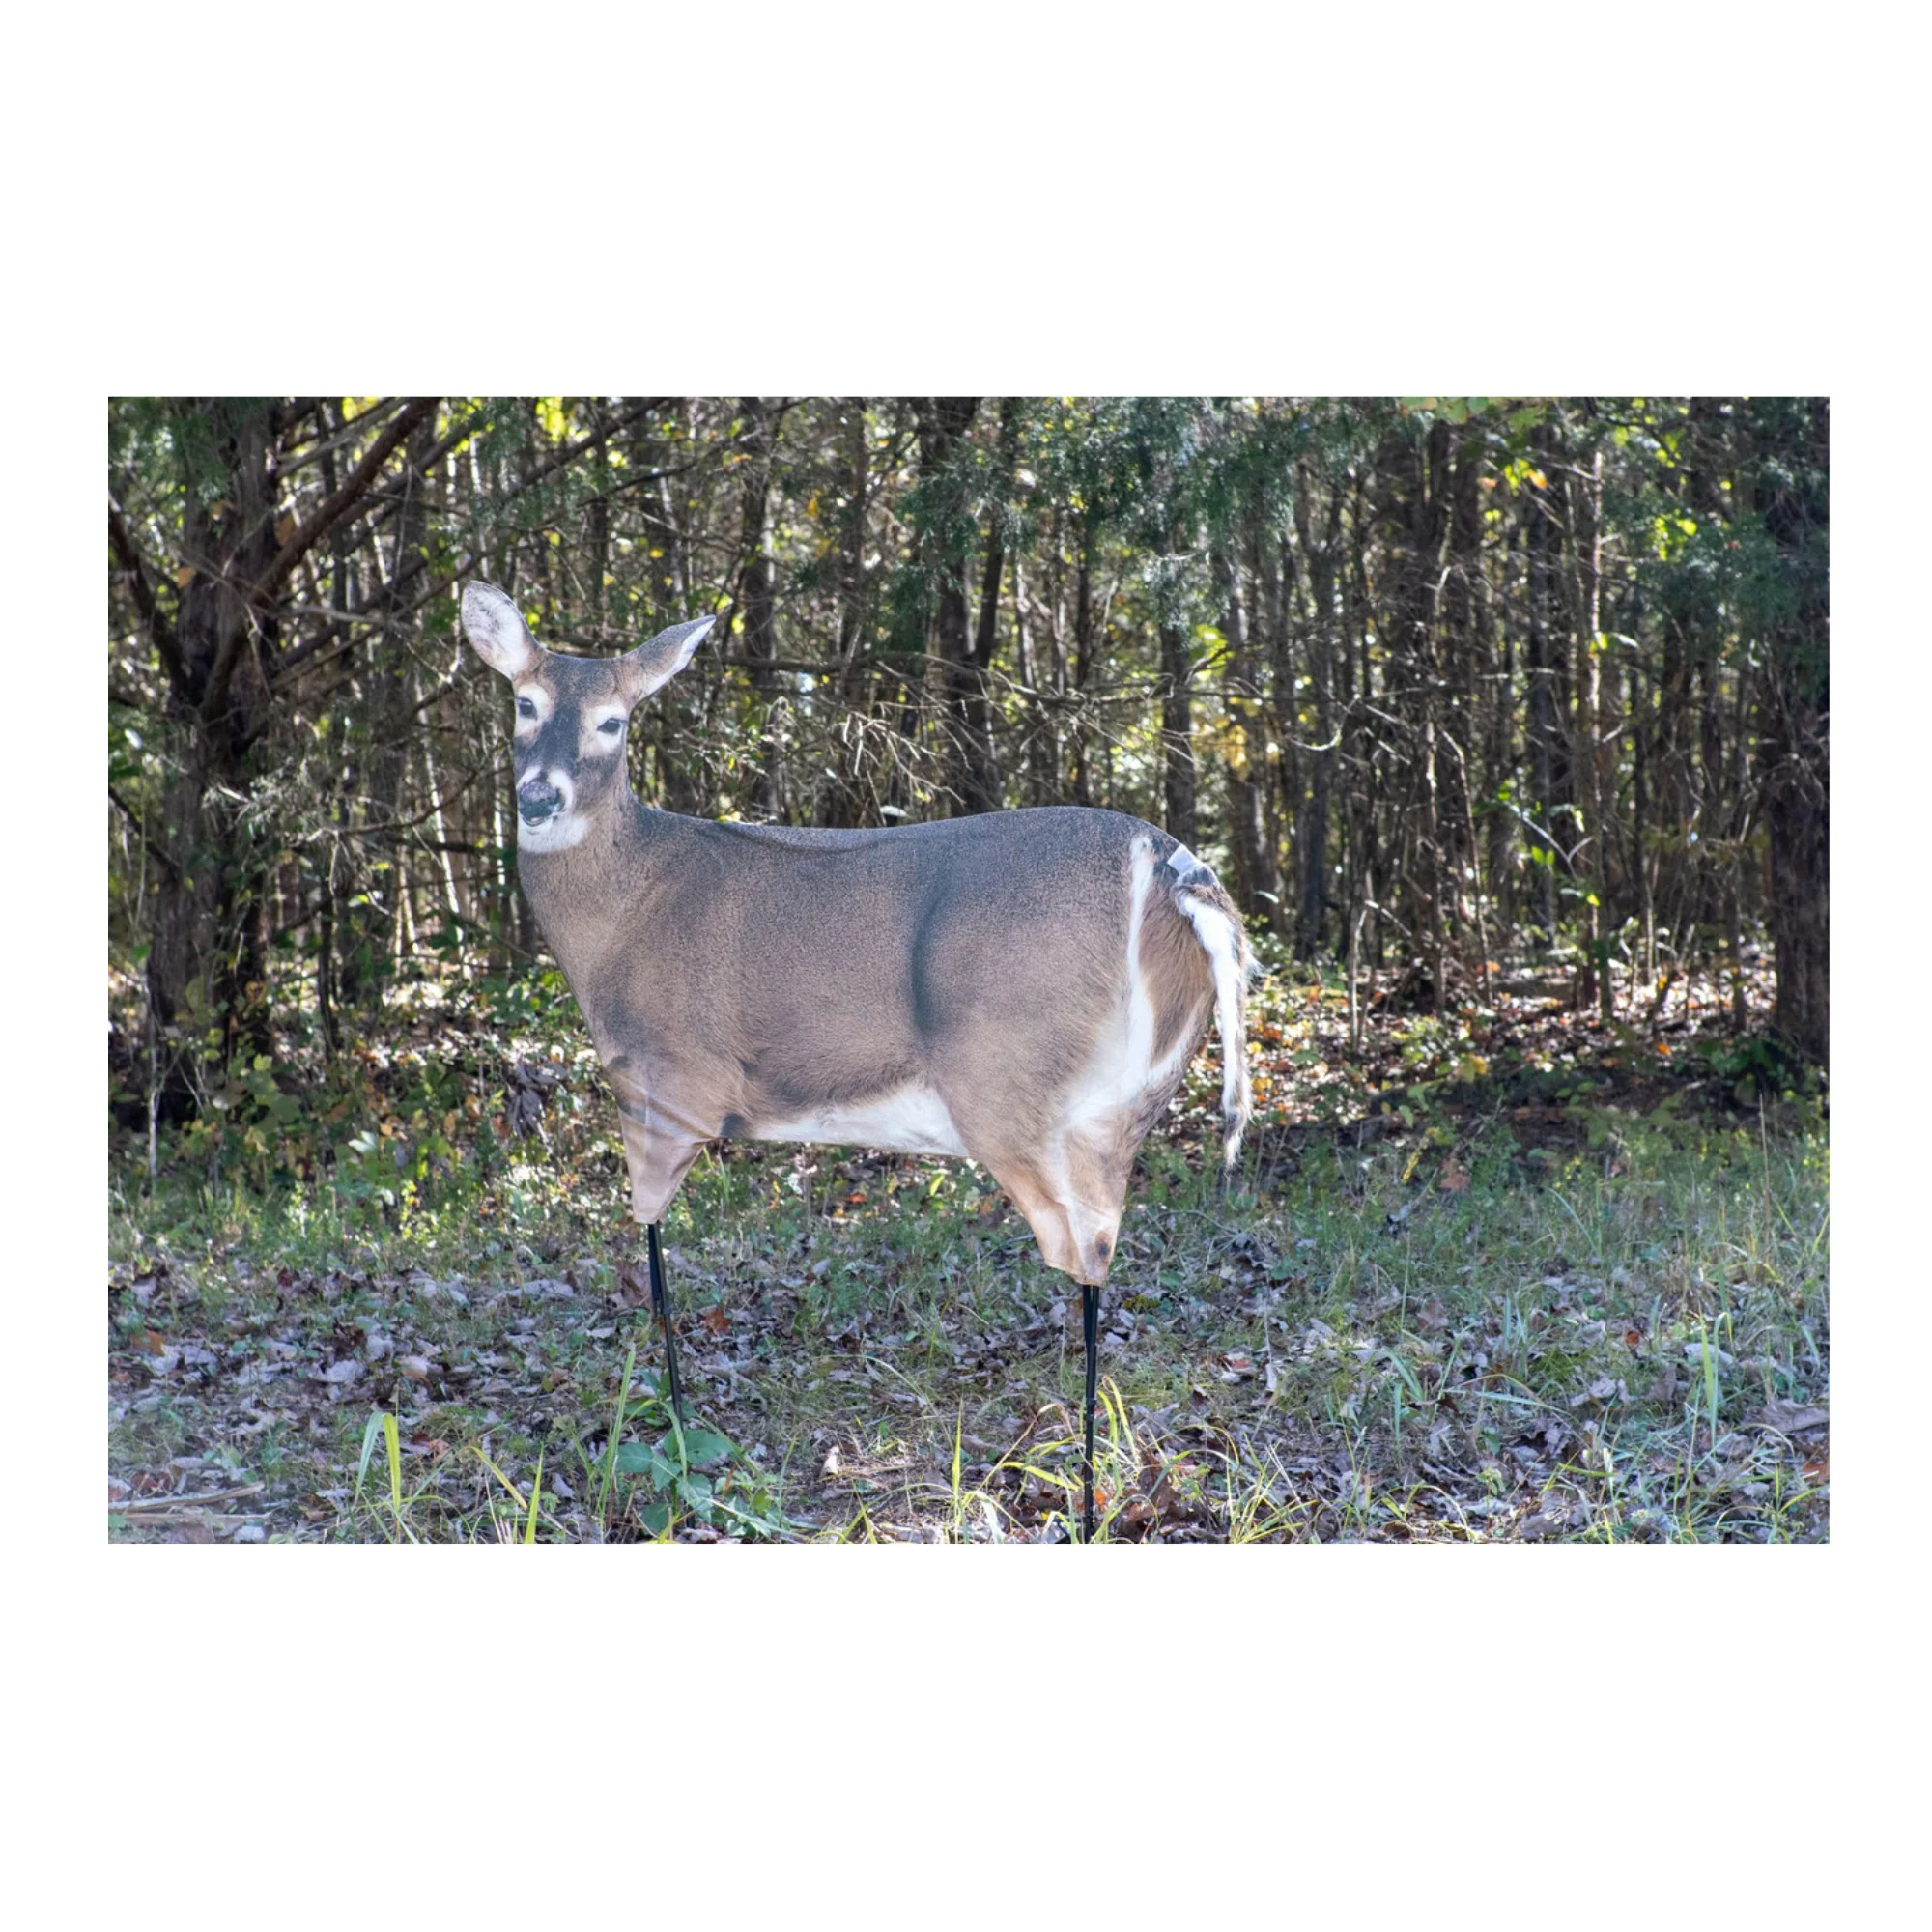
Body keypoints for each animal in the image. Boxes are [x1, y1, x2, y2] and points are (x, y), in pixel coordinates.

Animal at [460, 579, 1251, 1539]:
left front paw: (680, 1455)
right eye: (525, 702)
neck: (621, 911)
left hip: (1014, 1082)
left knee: (1087, 1251)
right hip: (1128, 1096)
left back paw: (1087, 1493)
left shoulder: (665, 1076)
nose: (540, 797)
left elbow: (653, 1268)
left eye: (614, 721)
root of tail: (1176, 871)